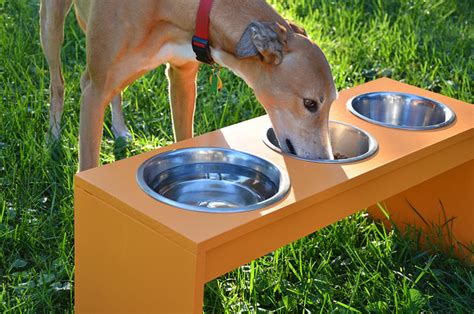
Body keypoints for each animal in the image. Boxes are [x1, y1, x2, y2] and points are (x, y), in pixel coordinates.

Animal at [40, 0, 336, 172]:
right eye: (310, 103)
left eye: (331, 101)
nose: (326, 161)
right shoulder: (94, 89)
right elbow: (87, 167)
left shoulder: (182, 77)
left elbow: (184, 140)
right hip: (52, 25)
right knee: (59, 83)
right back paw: (53, 137)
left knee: (116, 90)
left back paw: (120, 129)